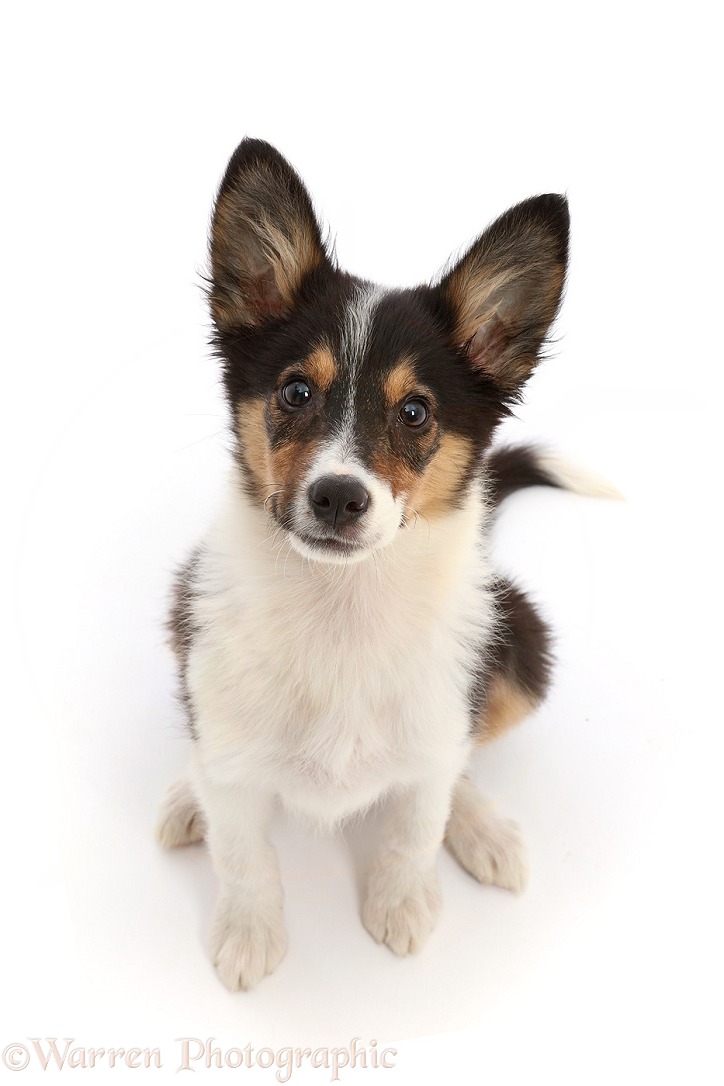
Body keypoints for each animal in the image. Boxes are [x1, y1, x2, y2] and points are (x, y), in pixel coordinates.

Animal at [156, 137, 616, 994]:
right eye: (295, 392)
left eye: (415, 412)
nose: (338, 497)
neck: (341, 608)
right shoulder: (224, 726)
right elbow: (244, 851)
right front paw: (249, 935)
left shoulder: (438, 733)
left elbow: (414, 824)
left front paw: (402, 905)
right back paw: (188, 797)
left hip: (521, 650)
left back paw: (482, 829)